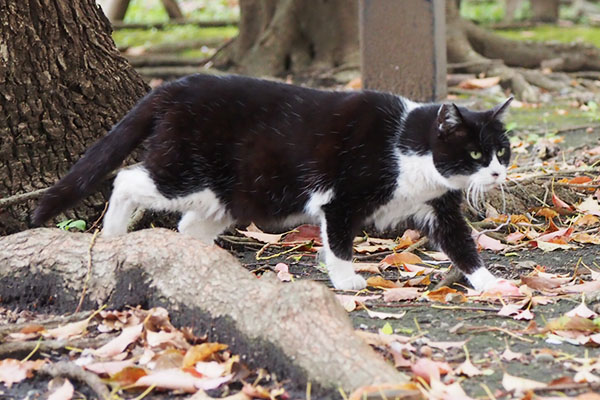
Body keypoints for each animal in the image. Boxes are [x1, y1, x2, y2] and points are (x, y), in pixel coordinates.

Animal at [31, 73, 510, 290]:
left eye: (502, 151)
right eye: (474, 154)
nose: (498, 172)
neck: (408, 149)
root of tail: (175, 85)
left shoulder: (438, 205)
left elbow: (461, 242)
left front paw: (492, 284)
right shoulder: (341, 198)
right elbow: (339, 240)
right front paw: (347, 280)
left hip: (225, 195)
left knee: (189, 224)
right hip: (185, 172)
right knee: (127, 179)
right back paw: (112, 236)